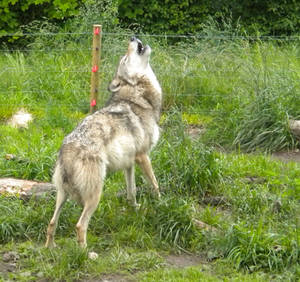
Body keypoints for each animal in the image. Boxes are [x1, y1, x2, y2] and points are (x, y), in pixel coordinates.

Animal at [45, 36, 162, 248]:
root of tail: (66, 150)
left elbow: (132, 190)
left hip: (62, 195)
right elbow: (154, 184)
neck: (140, 96)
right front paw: (161, 203)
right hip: (95, 194)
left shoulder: (130, 163)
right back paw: (86, 253)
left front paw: (135, 208)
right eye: (125, 58)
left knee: (51, 222)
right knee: (80, 225)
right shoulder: (143, 156)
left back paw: (50, 248)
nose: (132, 37)